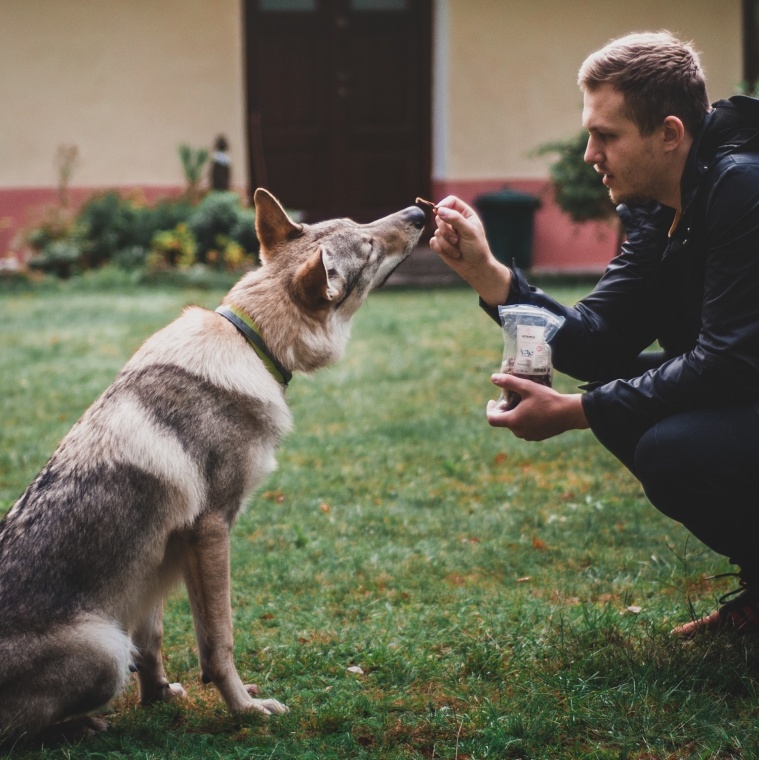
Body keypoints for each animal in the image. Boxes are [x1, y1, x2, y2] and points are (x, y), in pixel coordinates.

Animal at [0, 190, 428, 744]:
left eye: (361, 223)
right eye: (369, 245)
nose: (420, 213)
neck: (252, 342)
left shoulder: (162, 551)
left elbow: (154, 639)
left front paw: (159, 698)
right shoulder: (211, 530)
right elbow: (218, 642)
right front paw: (244, 709)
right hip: (105, 650)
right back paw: (85, 727)